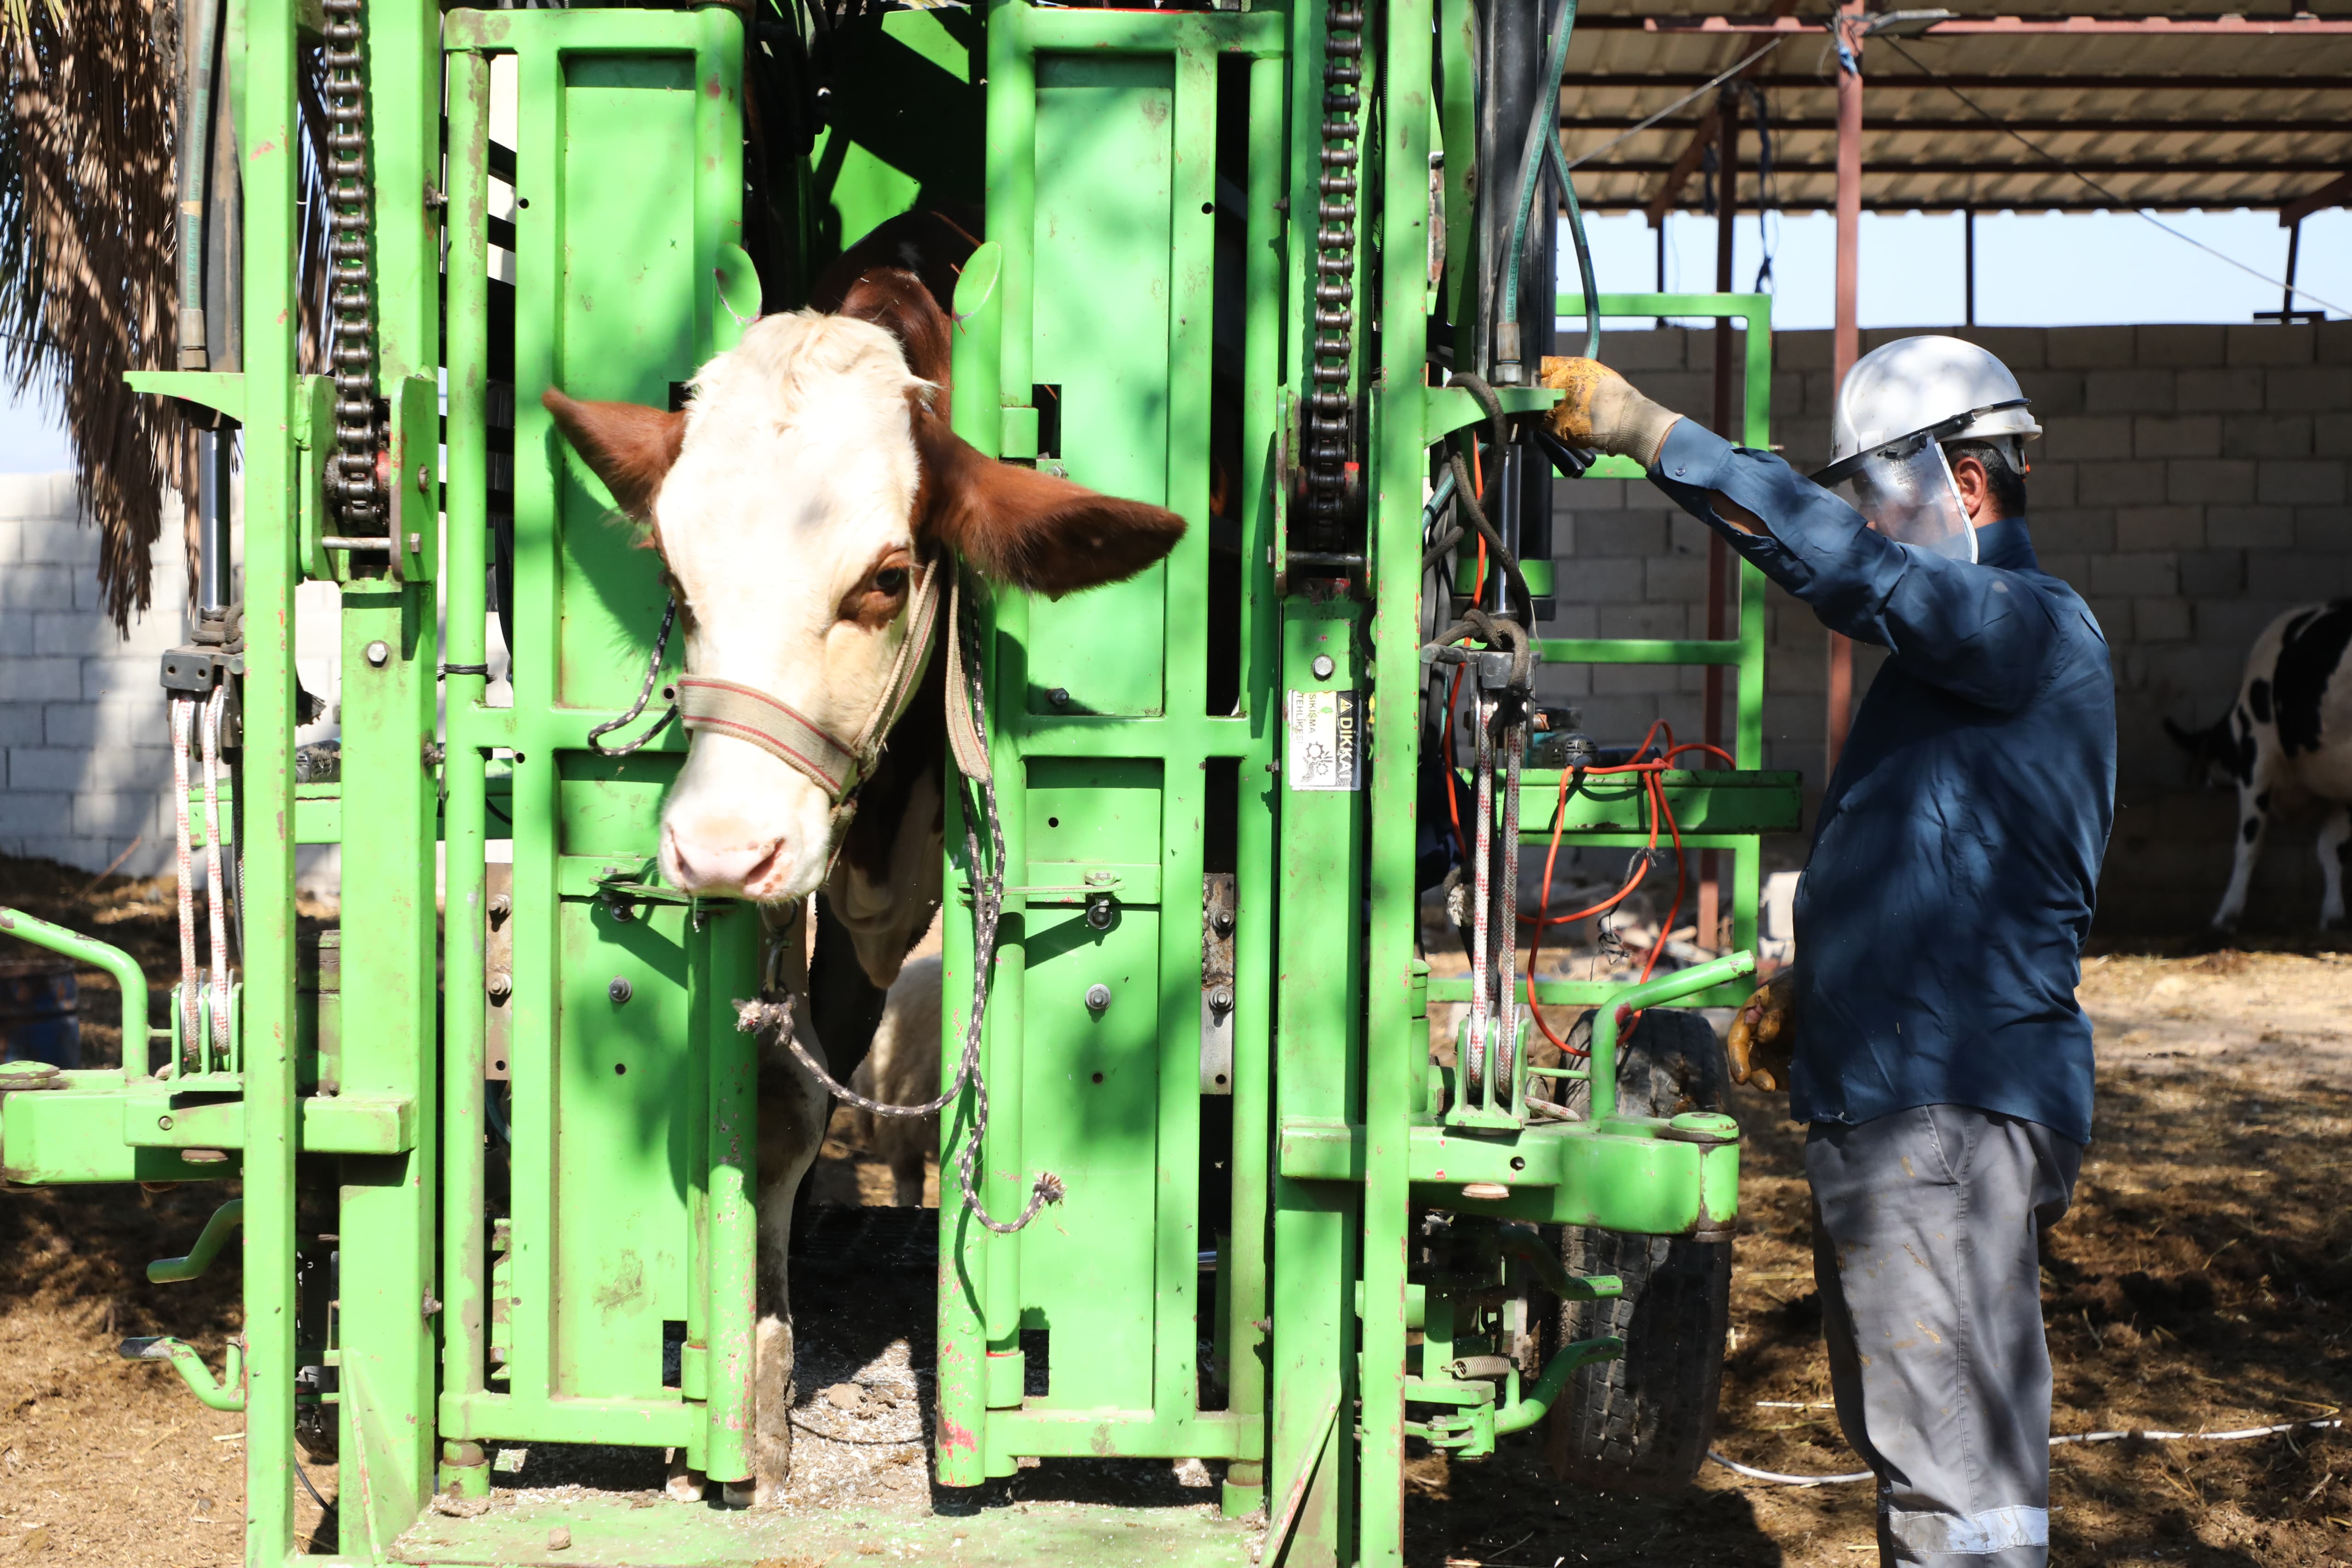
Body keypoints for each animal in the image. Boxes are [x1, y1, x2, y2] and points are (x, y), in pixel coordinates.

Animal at [2164, 601, 2352, 931]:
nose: (2204, 783)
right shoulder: (2339, 781)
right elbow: (2331, 846)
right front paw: (2333, 915)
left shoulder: (2257, 755)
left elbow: (2249, 841)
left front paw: (2227, 915)